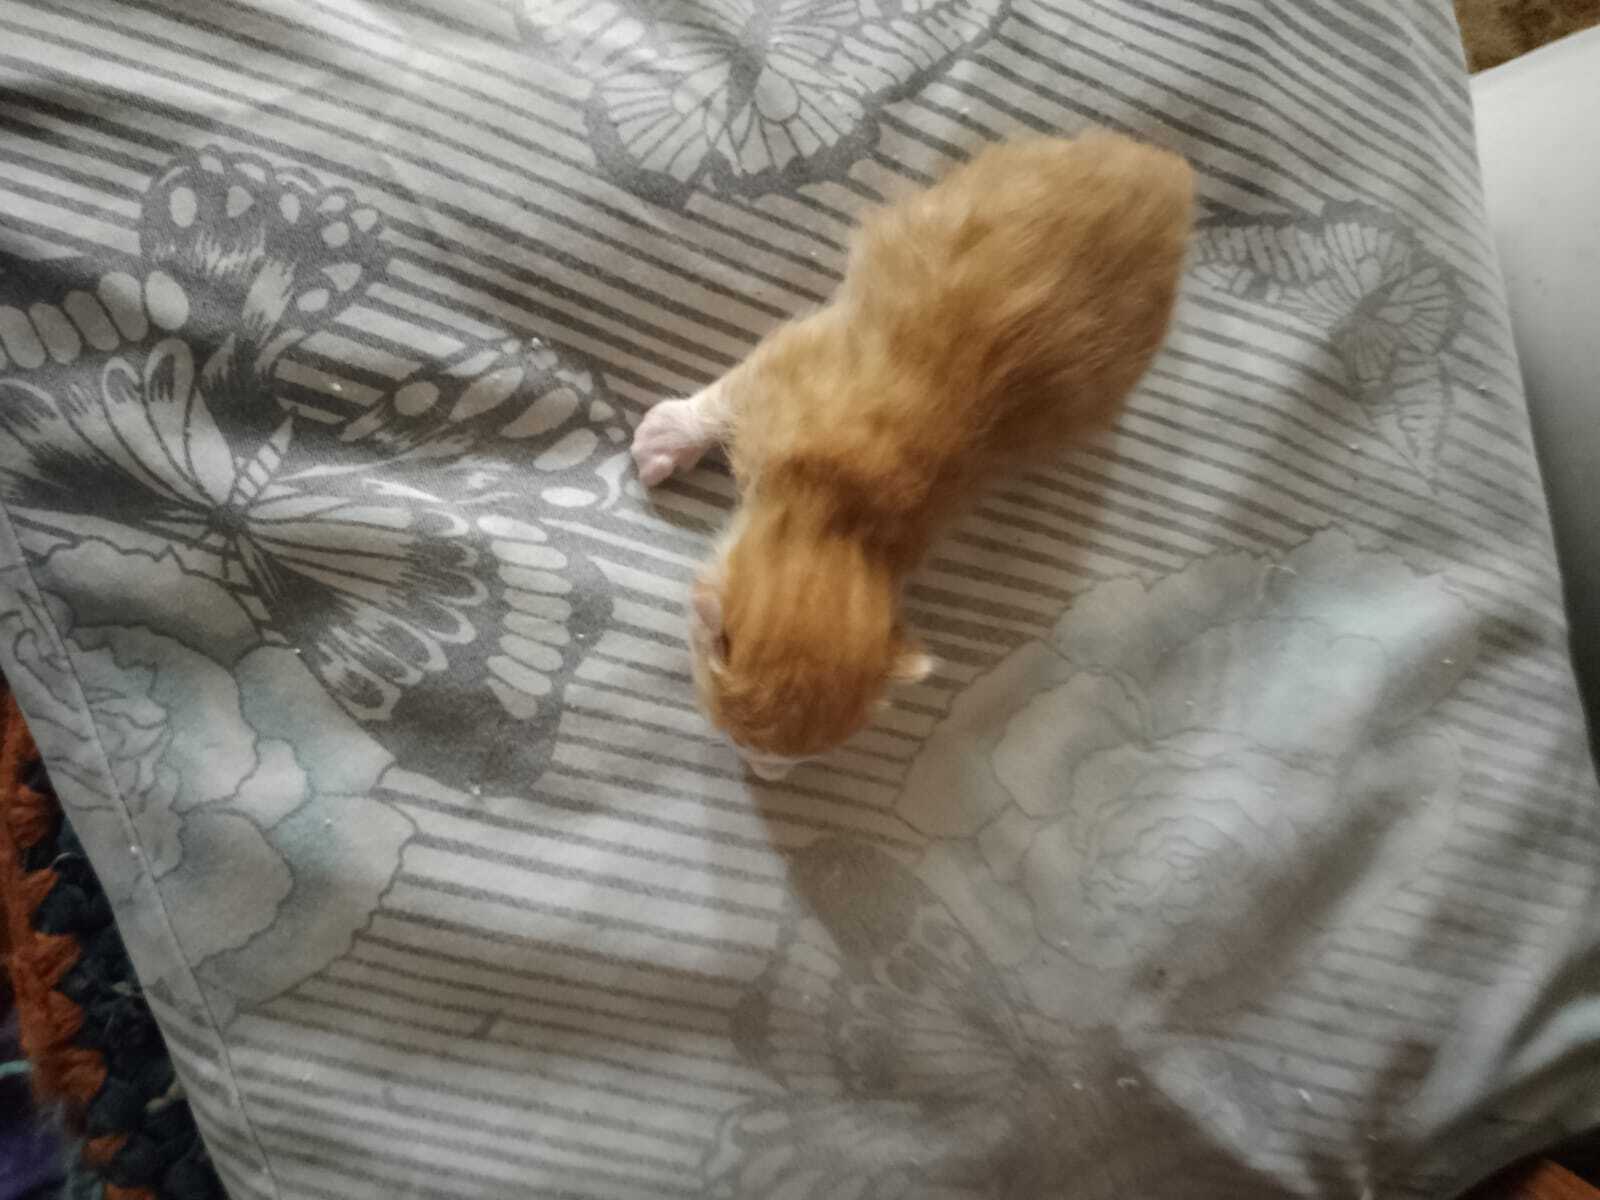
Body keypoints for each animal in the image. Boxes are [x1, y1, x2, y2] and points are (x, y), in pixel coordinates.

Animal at [632, 131, 1195, 779]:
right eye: (735, 739)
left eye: (803, 758)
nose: (765, 778)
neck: (838, 502)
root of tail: (1169, 175)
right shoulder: (788, 369)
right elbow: (724, 396)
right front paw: (668, 436)